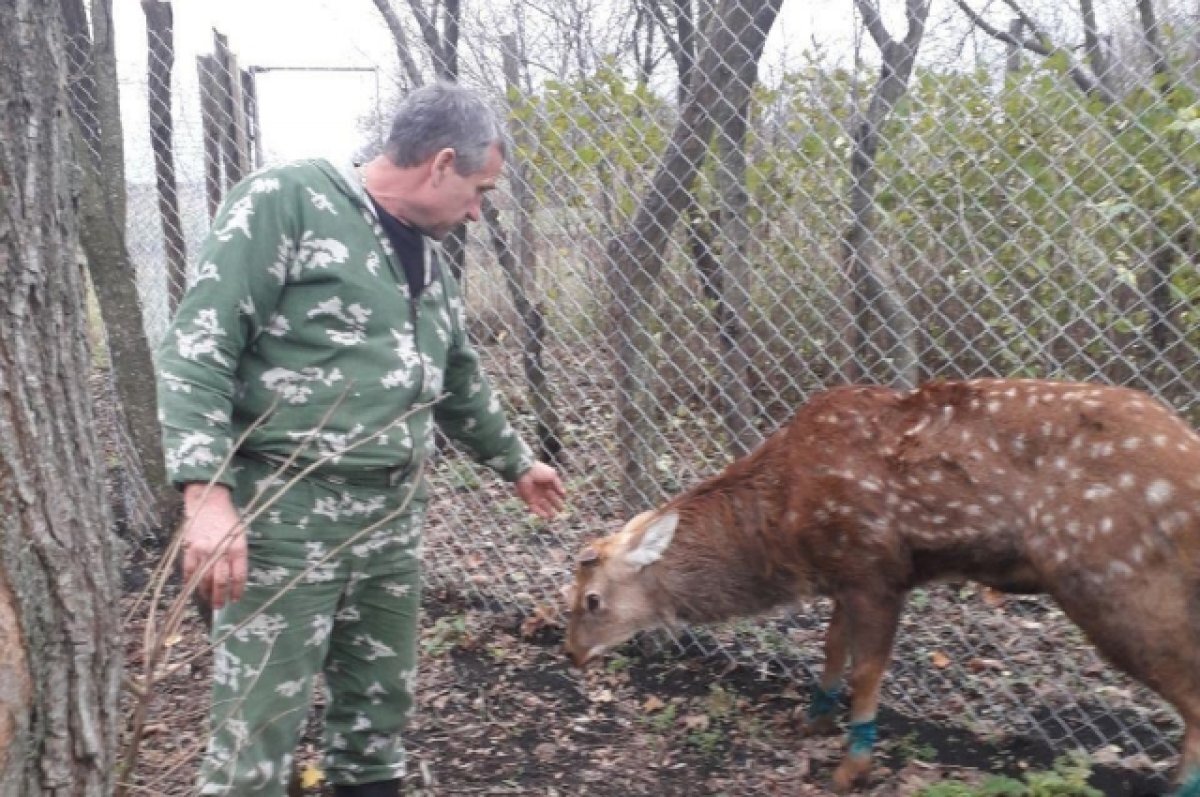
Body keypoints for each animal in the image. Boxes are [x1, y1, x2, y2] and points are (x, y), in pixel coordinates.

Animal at [564, 379, 1200, 792]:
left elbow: (868, 668)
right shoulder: (846, 576)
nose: (571, 654)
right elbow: (832, 647)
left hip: (1115, 581)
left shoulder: (876, 568)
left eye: (591, 599)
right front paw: (814, 719)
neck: (785, 526)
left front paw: (853, 767)